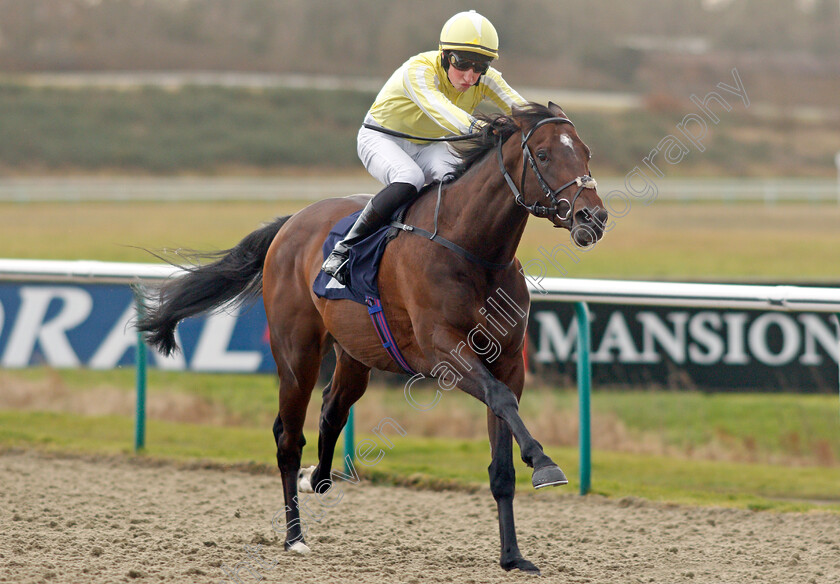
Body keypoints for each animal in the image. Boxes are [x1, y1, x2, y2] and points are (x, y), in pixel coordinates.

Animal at [139, 101, 612, 576]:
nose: (593, 217)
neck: (473, 251)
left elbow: (502, 457)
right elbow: (500, 399)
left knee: (332, 410)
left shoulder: (508, 361)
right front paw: (544, 463)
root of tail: (291, 222)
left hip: (355, 355)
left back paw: (318, 478)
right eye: (545, 155)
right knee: (288, 438)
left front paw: (513, 556)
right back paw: (294, 536)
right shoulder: (444, 351)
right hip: (297, 354)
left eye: (587, 152)